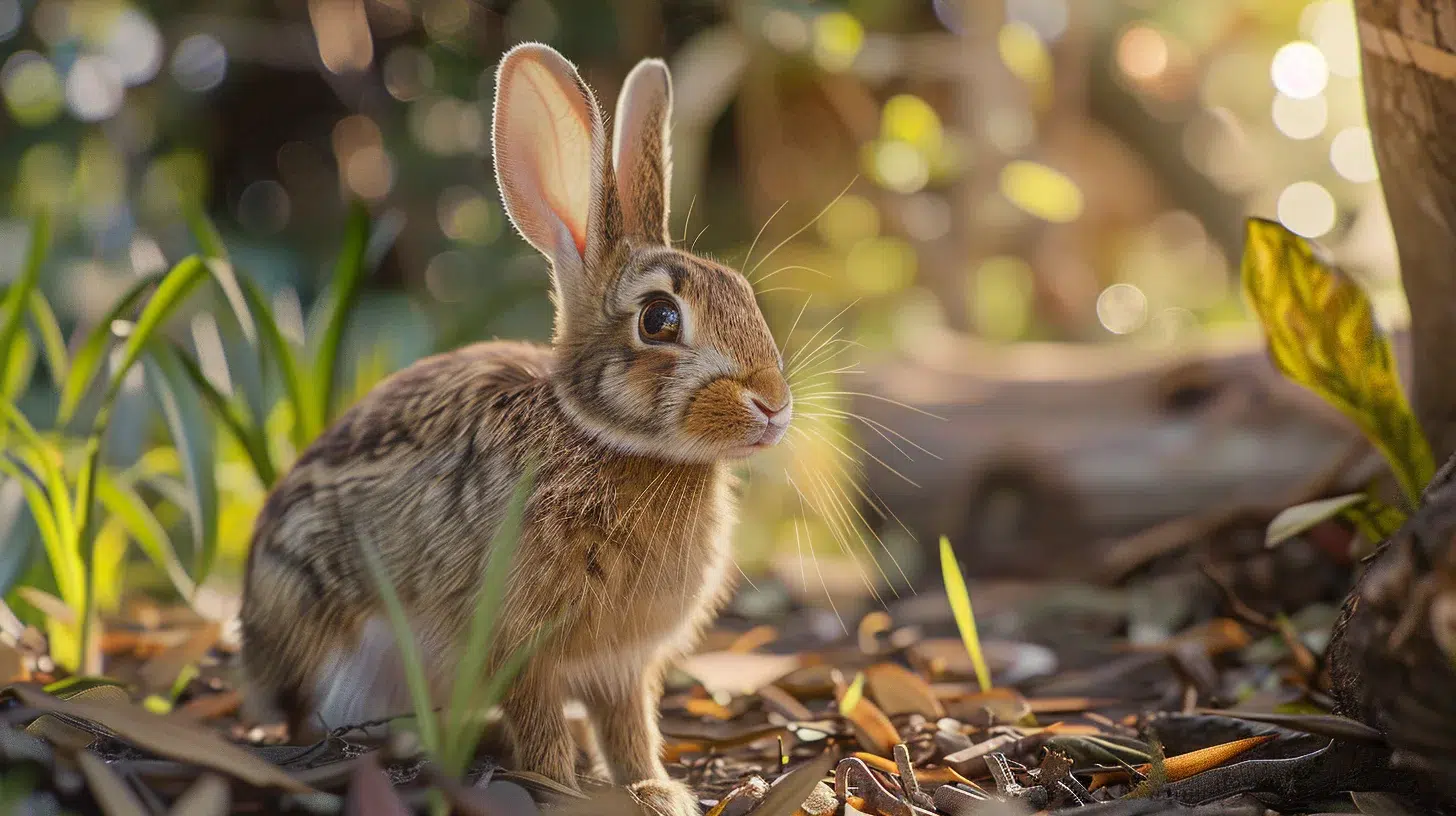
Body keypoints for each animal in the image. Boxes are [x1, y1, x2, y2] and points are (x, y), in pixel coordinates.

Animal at [238, 44, 792, 816]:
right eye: (659, 320)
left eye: (741, 293)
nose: (774, 404)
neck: (600, 437)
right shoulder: (517, 647)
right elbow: (542, 722)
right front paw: (563, 789)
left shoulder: (623, 666)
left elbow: (629, 727)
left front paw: (654, 790)